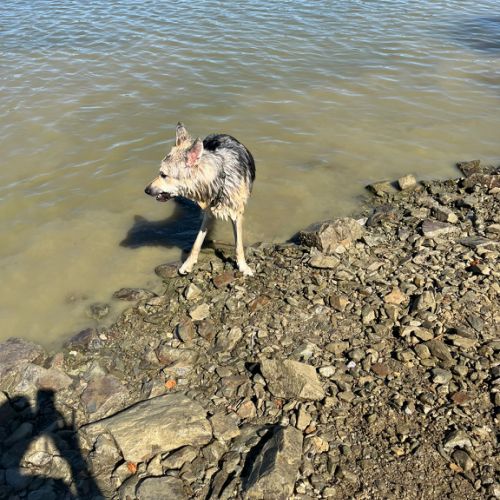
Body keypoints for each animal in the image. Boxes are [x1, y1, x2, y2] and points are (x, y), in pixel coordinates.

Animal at [145, 122, 256, 276]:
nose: (146, 190)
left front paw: (243, 266)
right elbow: (197, 242)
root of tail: (220, 133)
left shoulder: (236, 214)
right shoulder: (208, 213)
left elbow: (238, 245)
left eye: (163, 175)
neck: (220, 181)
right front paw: (188, 263)